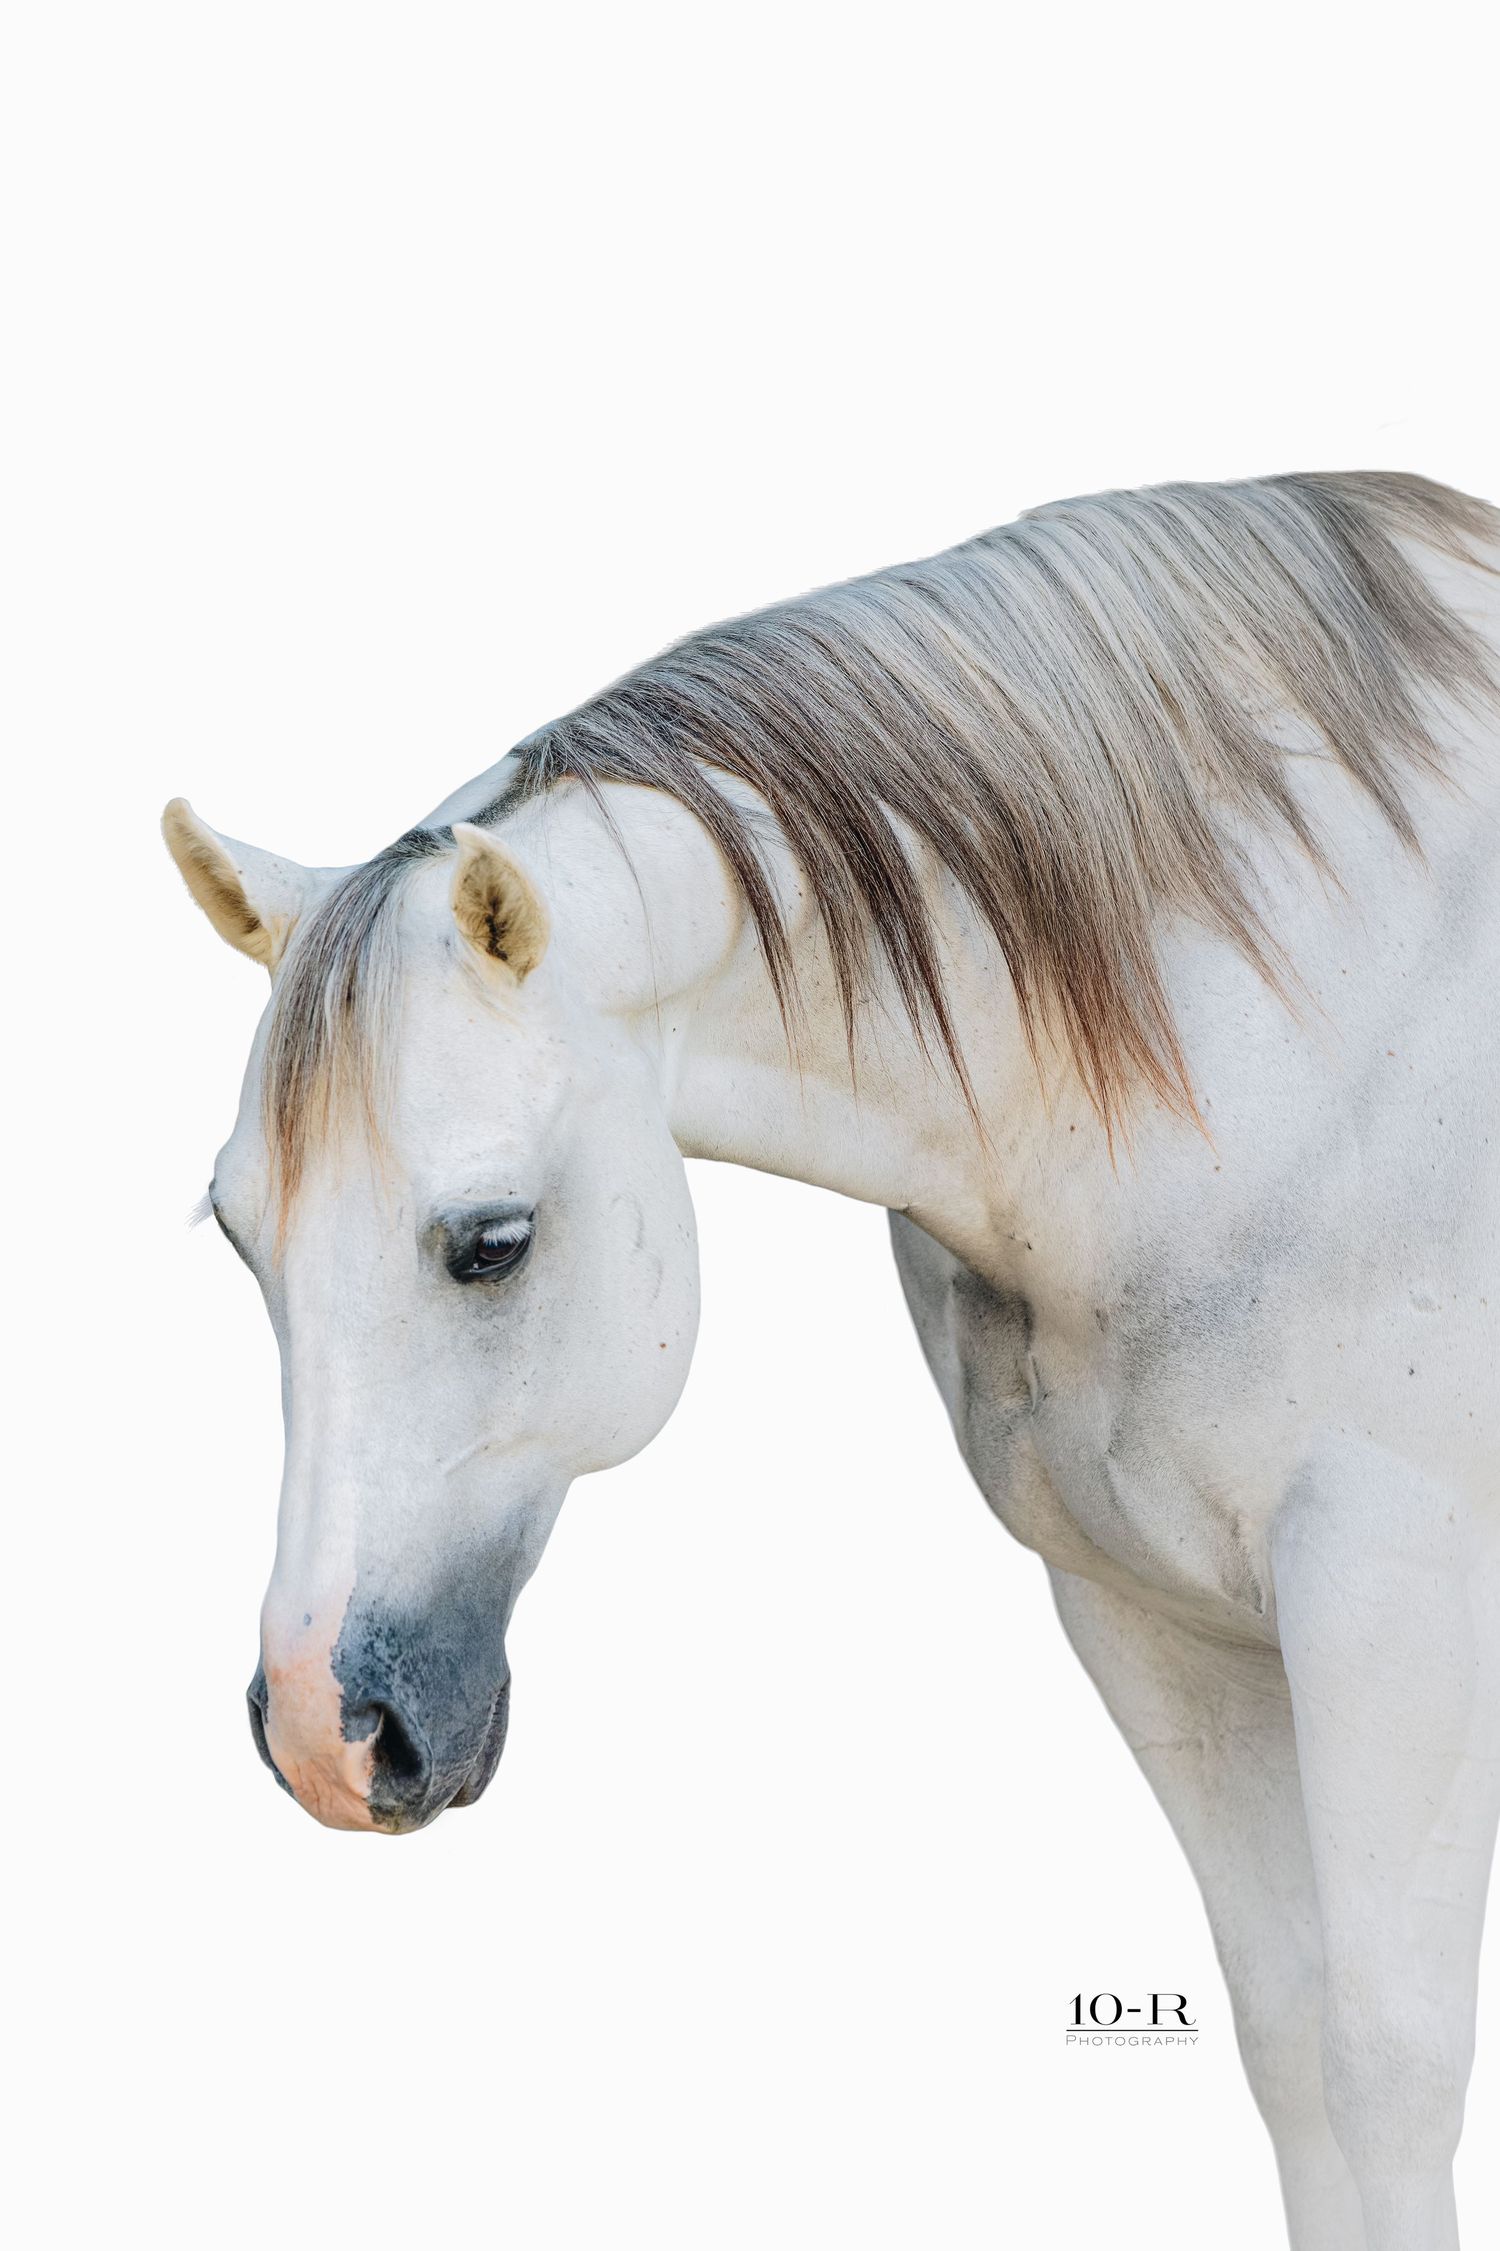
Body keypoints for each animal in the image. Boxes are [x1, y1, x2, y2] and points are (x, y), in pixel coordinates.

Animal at [164, 471, 1499, 2251]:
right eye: (239, 1236)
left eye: (492, 1241)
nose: (326, 1727)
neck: (1289, 1038)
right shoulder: (1160, 1626)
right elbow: (1291, 2042)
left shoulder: (1396, 1612)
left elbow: (1387, 2061)